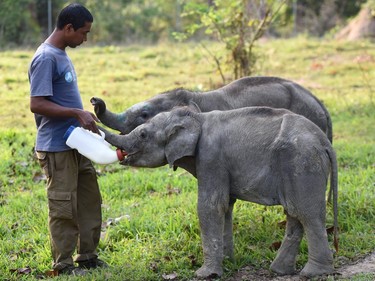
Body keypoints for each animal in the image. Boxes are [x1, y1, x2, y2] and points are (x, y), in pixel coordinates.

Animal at [101, 105, 340, 278]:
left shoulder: (211, 157)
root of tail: (325, 142)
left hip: (302, 163)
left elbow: (210, 207)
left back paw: (313, 273)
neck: (196, 118)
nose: (93, 108)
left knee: (307, 214)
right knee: (294, 214)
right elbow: (226, 206)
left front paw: (205, 274)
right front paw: (227, 262)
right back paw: (280, 271)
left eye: (143, 134)